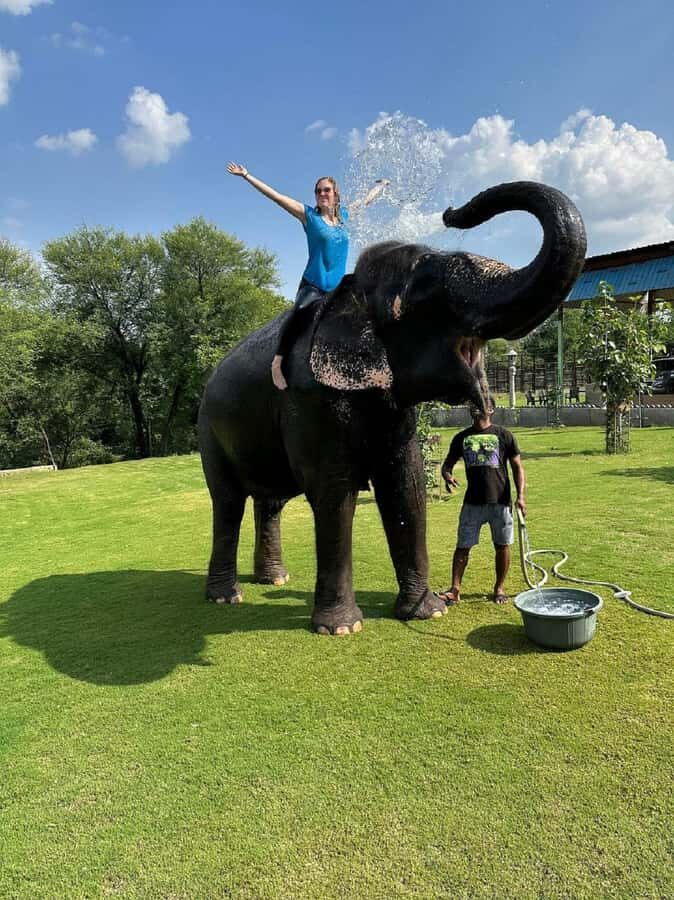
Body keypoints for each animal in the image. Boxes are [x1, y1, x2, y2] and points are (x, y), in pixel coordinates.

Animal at [198, 181, 586, 634]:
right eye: (425, 286)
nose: (452, 212)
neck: (349, 296)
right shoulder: (309, 398)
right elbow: (334, 491)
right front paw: (342, 628)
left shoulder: (392, 407)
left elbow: (407, 486)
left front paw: (428, 610)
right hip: (208, 430)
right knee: (227, 503)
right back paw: (226, 597)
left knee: (269, 501)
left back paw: (274, 578)